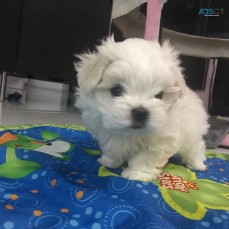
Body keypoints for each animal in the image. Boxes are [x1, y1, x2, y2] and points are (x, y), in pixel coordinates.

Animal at [75, 37, 209, 181]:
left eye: (159, 95)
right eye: (116, 90)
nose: (140, 112)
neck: (131, 134)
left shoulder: (160, 141)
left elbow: (145, 158)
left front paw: (137, 174)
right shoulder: (105, 131)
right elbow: (111, 147)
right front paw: (108, 161)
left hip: (191, 133)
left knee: (196, 147)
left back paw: (197, 164)